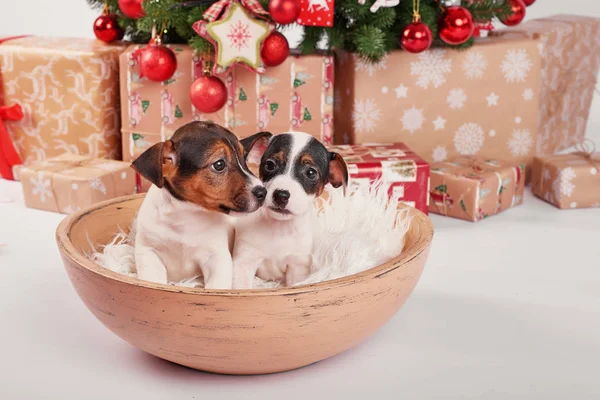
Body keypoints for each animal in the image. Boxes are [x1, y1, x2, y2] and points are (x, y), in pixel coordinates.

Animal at [133, 120, 272, 290]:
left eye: (244, 158)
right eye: (219, 164)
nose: (263, 192)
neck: (185, 217)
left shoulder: (216, 258)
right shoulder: (148, 253)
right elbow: (153, 281)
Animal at [232, 133, 350, 290]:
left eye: (311, 172)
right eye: (270, 164)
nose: (281, 195)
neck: (278, 228)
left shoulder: (297, 267)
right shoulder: (244, 263)